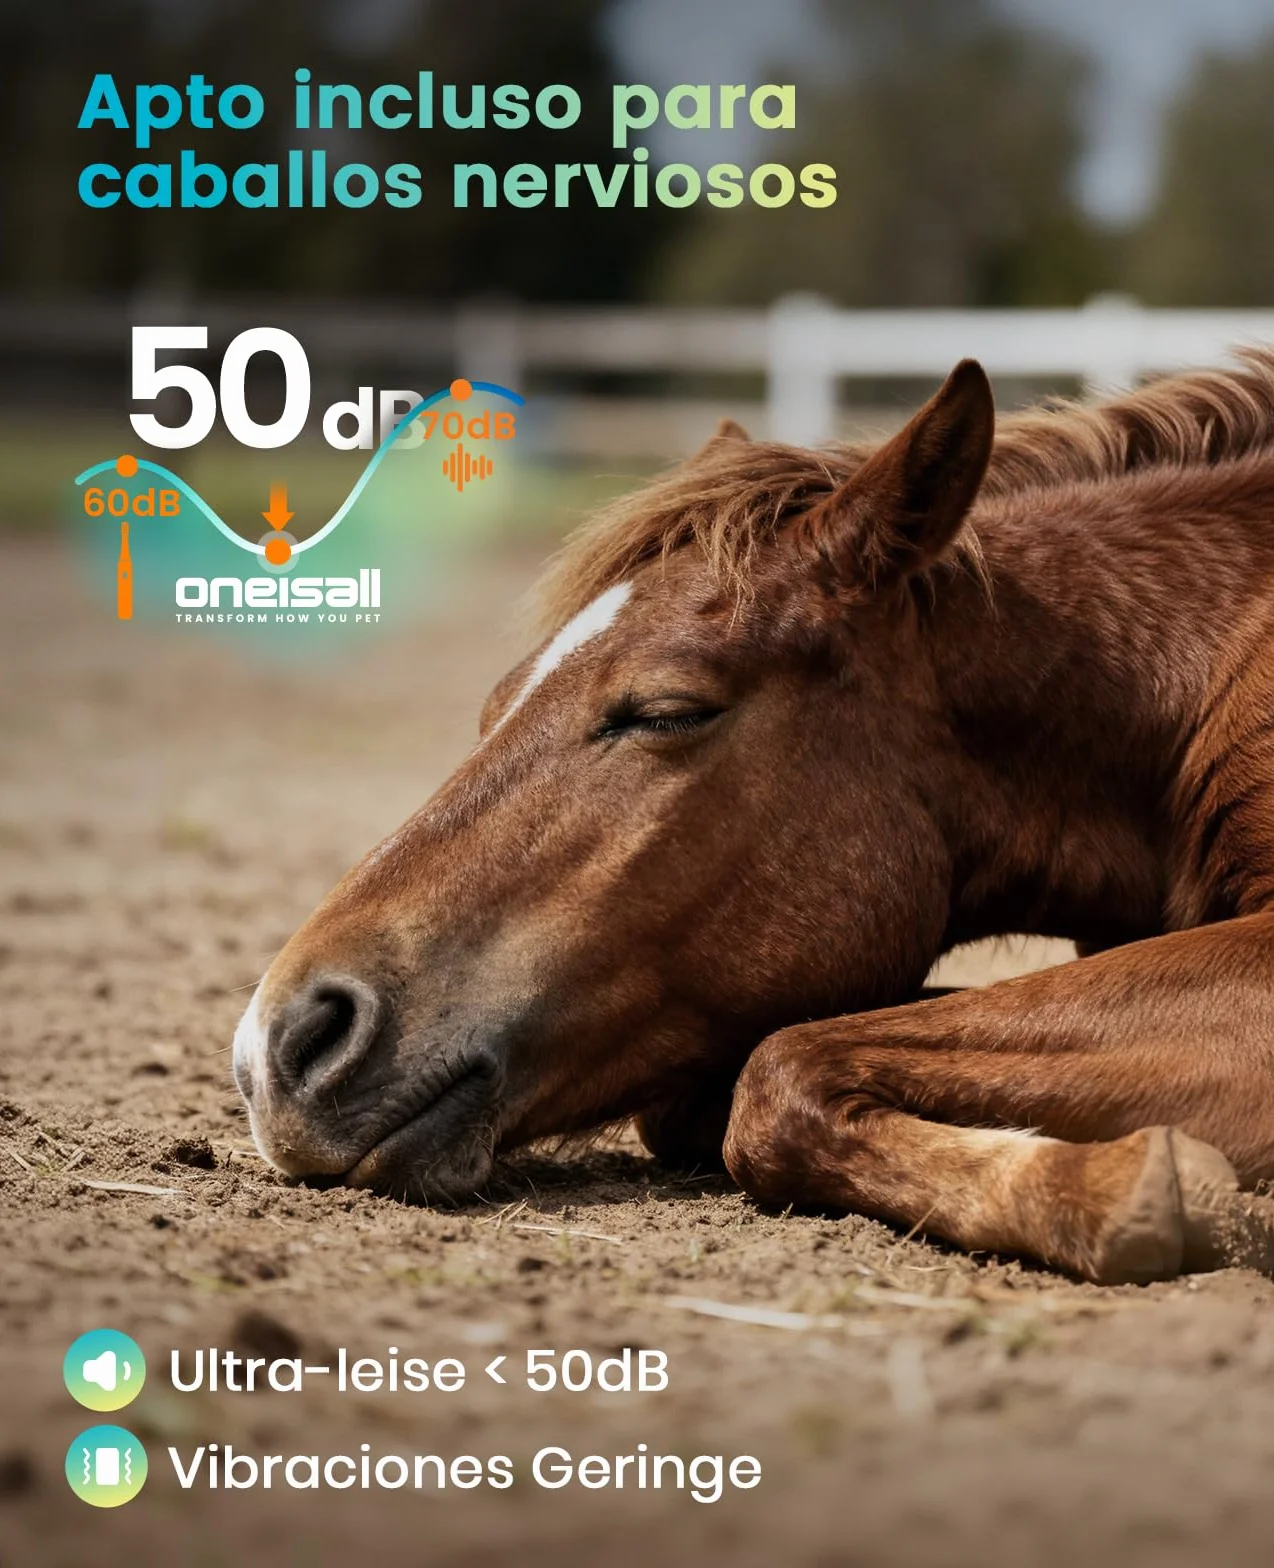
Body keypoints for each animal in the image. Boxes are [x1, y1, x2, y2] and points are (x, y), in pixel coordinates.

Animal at [233, 350, 1274, 1286]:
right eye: (493, 709)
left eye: (667, 711)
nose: (279, 1047)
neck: (1187, 675)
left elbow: (780, 1070)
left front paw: (1142, 1187)